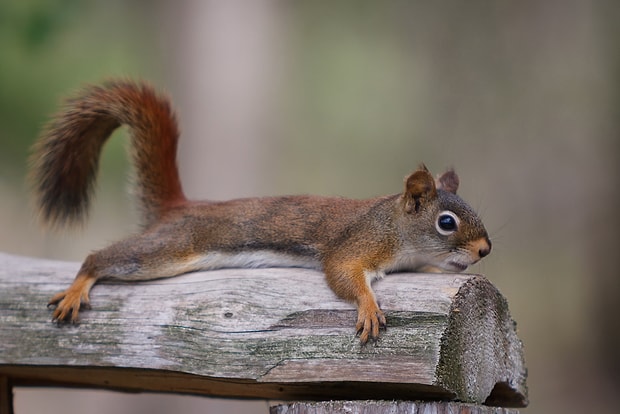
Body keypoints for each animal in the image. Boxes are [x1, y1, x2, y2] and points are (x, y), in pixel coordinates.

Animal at [31, 79, 492, 344]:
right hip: (166, 251)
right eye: (446, 222)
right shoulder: (359, 243)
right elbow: (342, 273)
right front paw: (368, 305)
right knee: (102, 258)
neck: (396, 228)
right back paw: (77, 287)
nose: (485, 249)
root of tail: (178, 208)